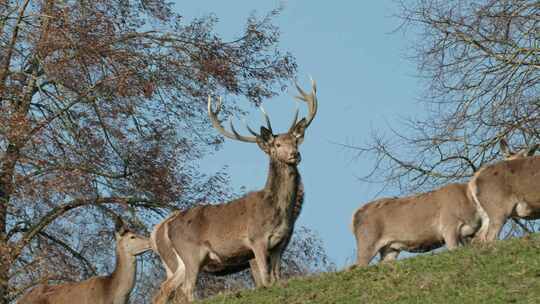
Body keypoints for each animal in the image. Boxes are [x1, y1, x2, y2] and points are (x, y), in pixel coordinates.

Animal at [150, 79, 318, 302]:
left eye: (295, 141)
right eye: (277, 144)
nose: (294, 154)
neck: (279, 212)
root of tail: (164, 228)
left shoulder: (280, 244)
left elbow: (276, 278)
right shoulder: (256, 240)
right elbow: (265, 279)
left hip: (179, 264)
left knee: (166, 289)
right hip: (191, 254)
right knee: (185, 290)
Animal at [350, 183, 480, 266]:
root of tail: (355, 215)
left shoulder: (467, 235)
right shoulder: (448, 227)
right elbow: (453, 248)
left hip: (390, 249)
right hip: (367, 242)